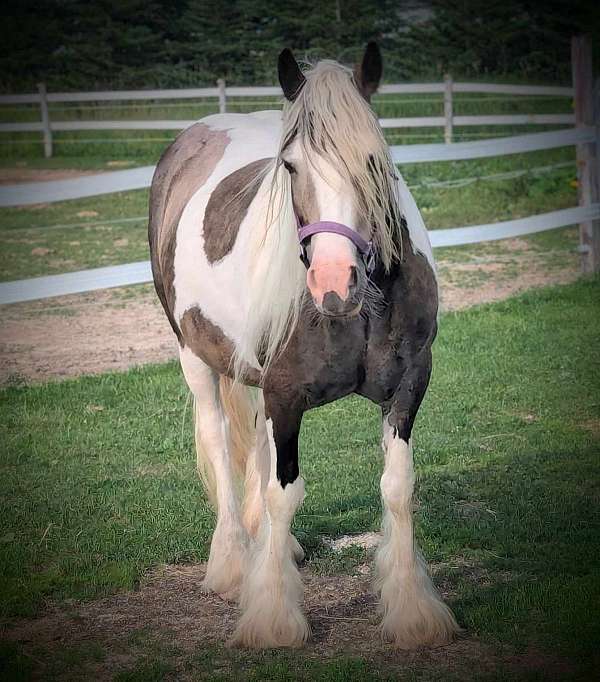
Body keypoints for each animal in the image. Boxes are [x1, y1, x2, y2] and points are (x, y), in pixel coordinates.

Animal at [149, 42, 460, 648]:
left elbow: (397, 487)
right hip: (195, 358)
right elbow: (283, 493)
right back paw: (231, 563)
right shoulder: (286, 397)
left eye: (375, 162)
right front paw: (272, 616)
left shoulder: (409, 387)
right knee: (218, 442)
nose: (334, 283)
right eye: (291, 167)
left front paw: (413, 610)